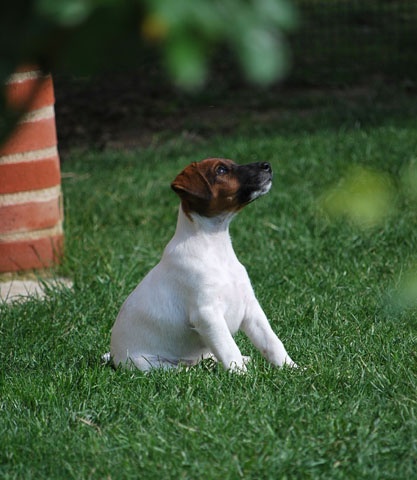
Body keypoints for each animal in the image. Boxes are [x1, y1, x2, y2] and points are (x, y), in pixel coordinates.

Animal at [110, 158, 296, 372]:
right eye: (221, 170)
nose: (267, 165)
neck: (216, 248)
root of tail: (113, 357)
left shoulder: (251, 308)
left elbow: (272, 342)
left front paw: (292, 368)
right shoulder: (207, 314)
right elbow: (229, 349)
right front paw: (243, 376)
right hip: (148, 364)